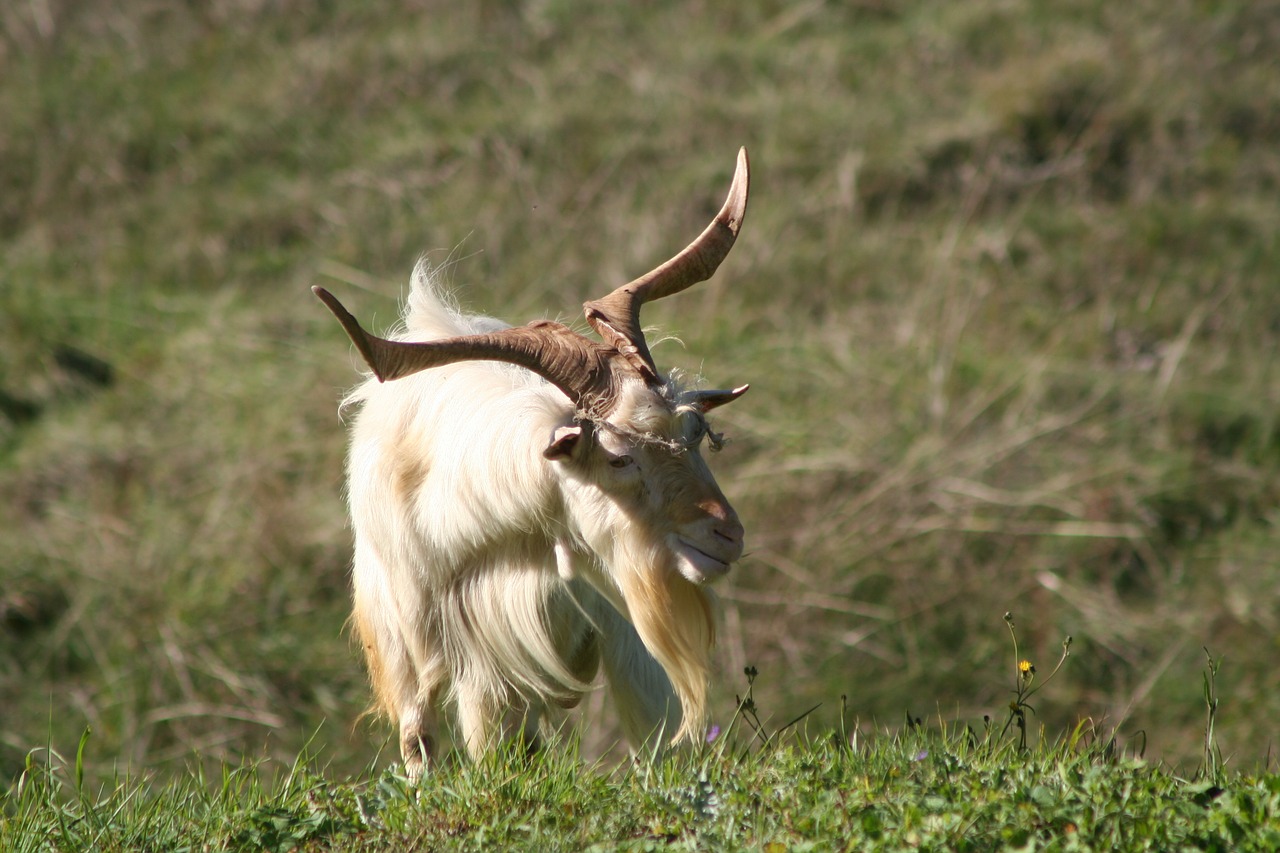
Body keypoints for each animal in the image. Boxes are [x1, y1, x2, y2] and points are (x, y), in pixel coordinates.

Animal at [313, 147, 747, 778]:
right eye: (618, 458)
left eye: (693, 432)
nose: (726, 535)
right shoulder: (436, 639)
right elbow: (424, 738)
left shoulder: (617, 631)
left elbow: (655, 733)